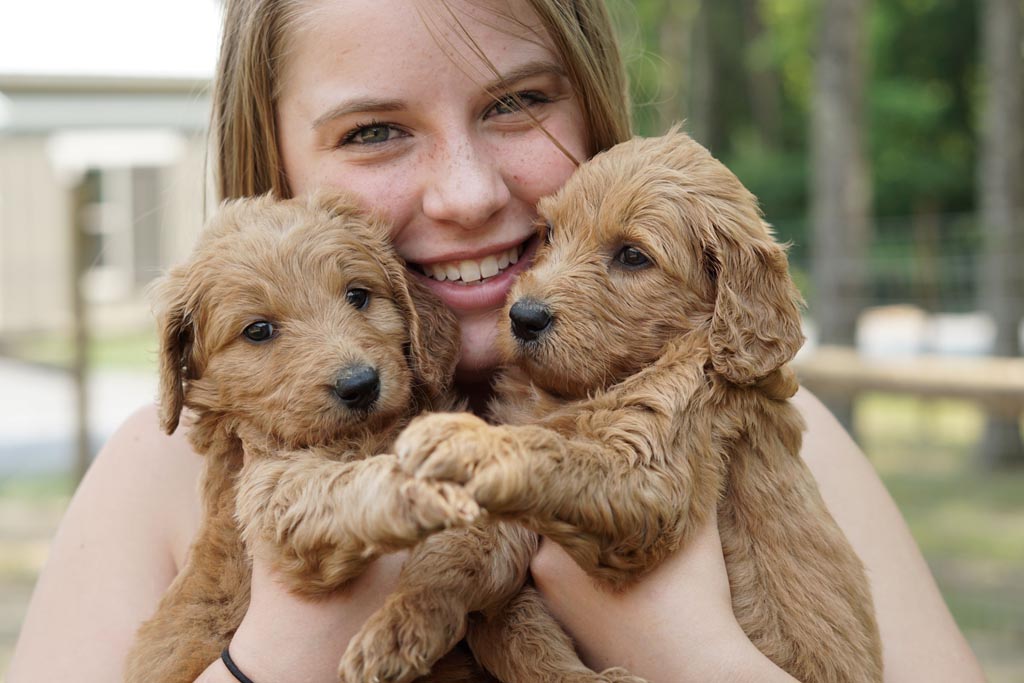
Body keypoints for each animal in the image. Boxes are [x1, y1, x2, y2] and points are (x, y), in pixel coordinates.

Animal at [123, 191, 634, 683]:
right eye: (258, 330)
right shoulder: (272, 492)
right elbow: (339, 487)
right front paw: (413, 489)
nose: (360, 384)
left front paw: (575, 677)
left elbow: (519, 624)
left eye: (358, 295)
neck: (370, 434)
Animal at [395, 129, 884, 683]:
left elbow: (551, 449)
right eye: (550, 233)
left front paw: (458, 438)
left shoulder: (655, 465)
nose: (523, 316)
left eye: (632, 256)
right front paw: (404, 619)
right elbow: (488, 580)